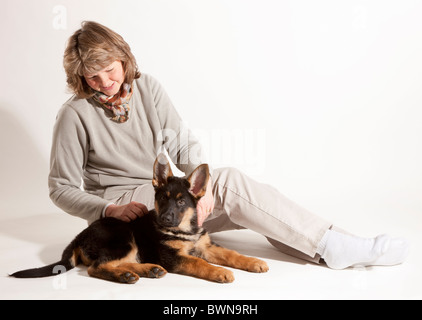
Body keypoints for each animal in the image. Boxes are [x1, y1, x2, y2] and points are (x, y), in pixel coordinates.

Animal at [11, 154, 268, 284]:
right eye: (163, 199)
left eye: (181, 202)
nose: (165, 218)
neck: (184, 229)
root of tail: (78, 237)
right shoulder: (172, 257)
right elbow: (198, 263)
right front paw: (219, 272)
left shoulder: (205, 246)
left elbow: (231, 254)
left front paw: (254, 262)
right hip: (123, 236)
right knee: (97, 267)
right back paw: (126, 275)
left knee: (114, 262)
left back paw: (147, 270)